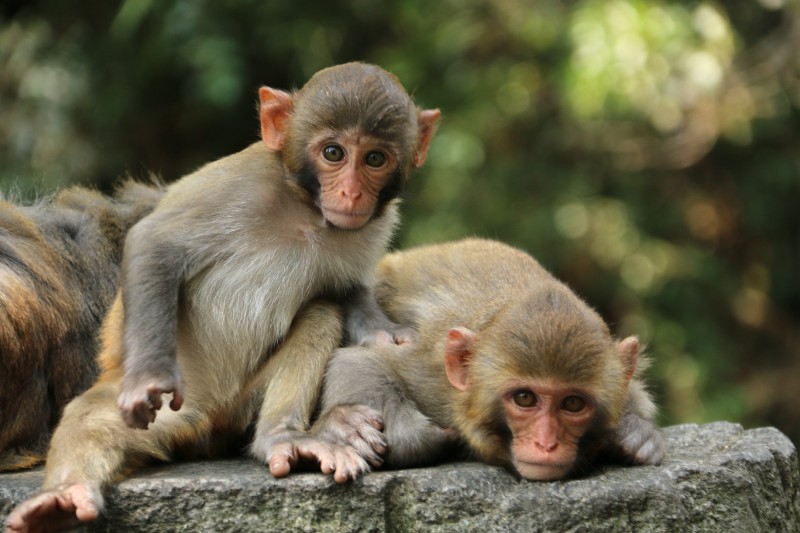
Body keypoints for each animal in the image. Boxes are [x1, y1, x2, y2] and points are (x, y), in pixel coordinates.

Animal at [4, 62, 438, 532]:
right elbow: (153, 242)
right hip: (158, 411)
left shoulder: (372, 227)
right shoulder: (242, 184)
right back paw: (62, 498)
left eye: (375, 158)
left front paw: (382, 333)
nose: (352, 193)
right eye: (333, 153)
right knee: (91, 418)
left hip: (242, 404)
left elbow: (345, 291)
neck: (306, 210)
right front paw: (150, 374)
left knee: (320, 314)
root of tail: (205, 419)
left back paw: (282, 437)